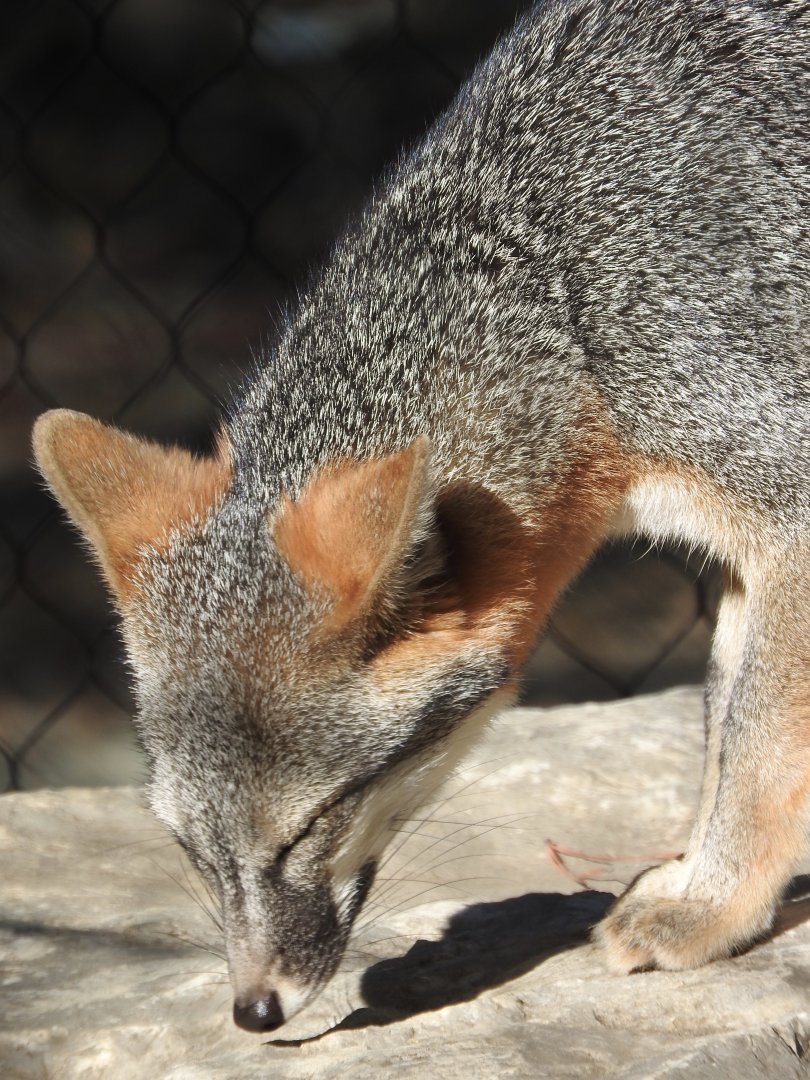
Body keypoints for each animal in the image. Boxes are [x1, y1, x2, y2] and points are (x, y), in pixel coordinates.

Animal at [32, 0, 809, 1036]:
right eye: (190, 847)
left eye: (309, 829)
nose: (255, 1012)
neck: (560, 280)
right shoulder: (740, 544)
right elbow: (727, 732)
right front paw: (706, 886)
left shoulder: (789, 510)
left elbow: (758, 748)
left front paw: (711, 908)